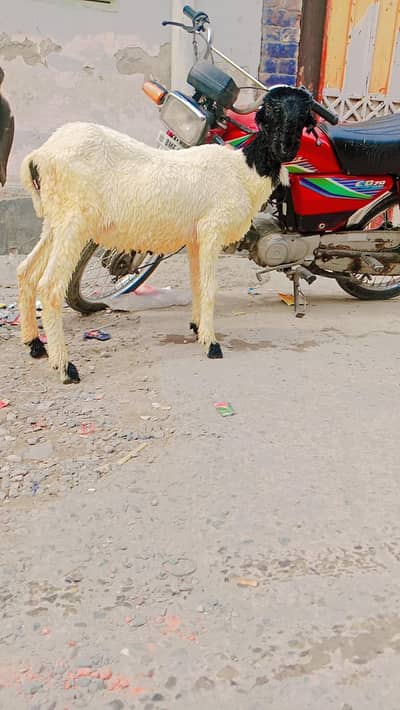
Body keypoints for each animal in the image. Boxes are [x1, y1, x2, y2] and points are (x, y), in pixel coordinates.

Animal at [17, 86, 314, 384]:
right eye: (272, 110)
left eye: (303, 116)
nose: (285, 148)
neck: (245, 169)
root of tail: (39, 155)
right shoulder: (211, 230)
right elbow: (209, 287)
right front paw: (212, 344)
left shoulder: (195, 238)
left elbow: (196, 284)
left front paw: (197, 328)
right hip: (73, 223)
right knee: (49, 286)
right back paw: (65, 367)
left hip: (55, 222)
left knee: (26, 272)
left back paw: (35, 344)